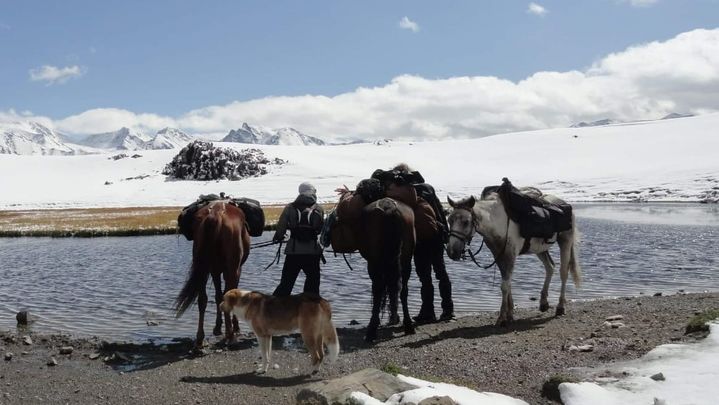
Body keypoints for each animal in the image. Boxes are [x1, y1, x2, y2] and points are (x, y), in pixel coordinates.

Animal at [175, 200, 252, 346]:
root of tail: (215, 214)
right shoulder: (235, 270)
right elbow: (229, 294)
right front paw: (235, 327)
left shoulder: (215, 271)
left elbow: (218, 296)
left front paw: (217, 327)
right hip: (232, 268)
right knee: (226, 294)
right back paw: (230, 335)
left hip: (202, 268)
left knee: (202, 299)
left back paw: (200, 338)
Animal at [358, 196, 416, 340]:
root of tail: (389, 208)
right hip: (406, 261)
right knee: (402, 290)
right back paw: (408, 325)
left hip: (374, 262)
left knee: (378, 289)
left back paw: (371, 330)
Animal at [448, 189, 584, 326]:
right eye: (449, 220)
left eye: (466, 221)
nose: (452, 252)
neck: (497, 221)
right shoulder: (500, 256)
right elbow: (508, 284)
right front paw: (510, 314)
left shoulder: (510, 256)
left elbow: (504, 286)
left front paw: (502, 317)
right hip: (540, 249)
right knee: (550, 267)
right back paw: (543, 303)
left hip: (565, 242)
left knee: (563, 272)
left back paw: (560, 307)